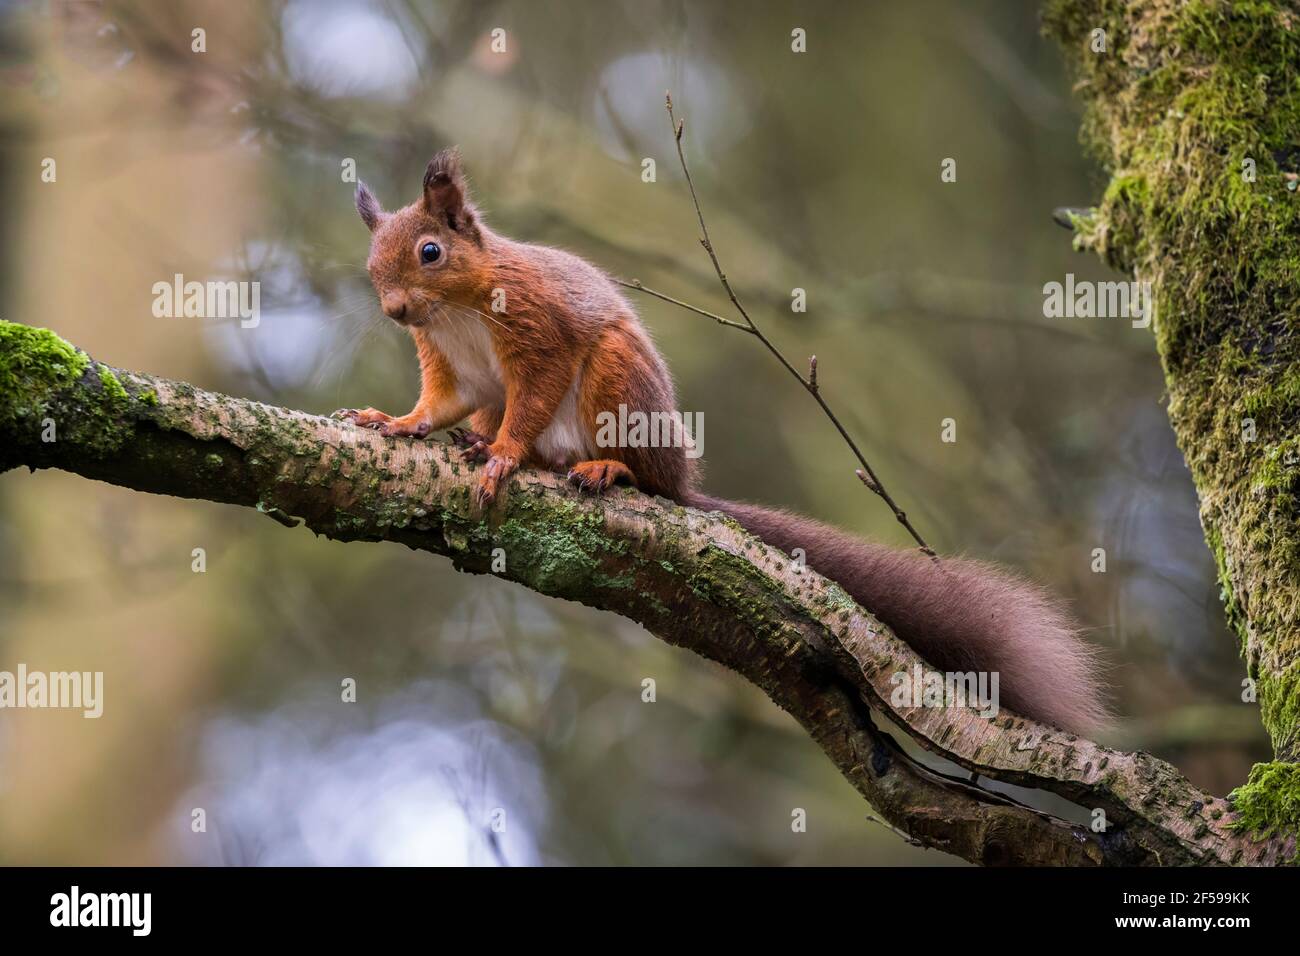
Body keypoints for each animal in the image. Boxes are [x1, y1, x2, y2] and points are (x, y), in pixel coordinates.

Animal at [338, 147, 1107, 733]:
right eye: (372, 266)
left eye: (430, 252)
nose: (394, 310)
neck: (455, 312)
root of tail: (685, 486)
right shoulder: (450, 368)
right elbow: (441, 404)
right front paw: (397, 423)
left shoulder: (539, 330)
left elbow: (532, 398)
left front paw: (503, 455)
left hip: (619, 384)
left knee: (638, 469)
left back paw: (605, 469)